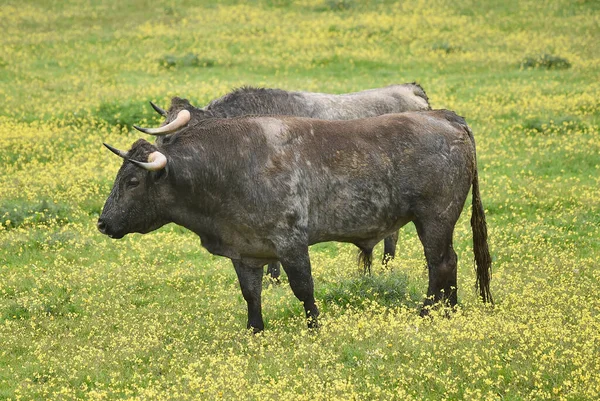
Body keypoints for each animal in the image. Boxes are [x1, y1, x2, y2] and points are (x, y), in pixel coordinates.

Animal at [98, 101, 492, 332]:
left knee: (441, 263)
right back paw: (449, 311)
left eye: (132, 181)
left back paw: (428, 313)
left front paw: (314, 327)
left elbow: (304, 288)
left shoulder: (291, 245)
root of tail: (445, 117)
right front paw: (254, 329)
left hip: (434, 219)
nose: (103, 223)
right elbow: (251, 294)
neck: (228, 167)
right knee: (450, 262)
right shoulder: (246, 252)